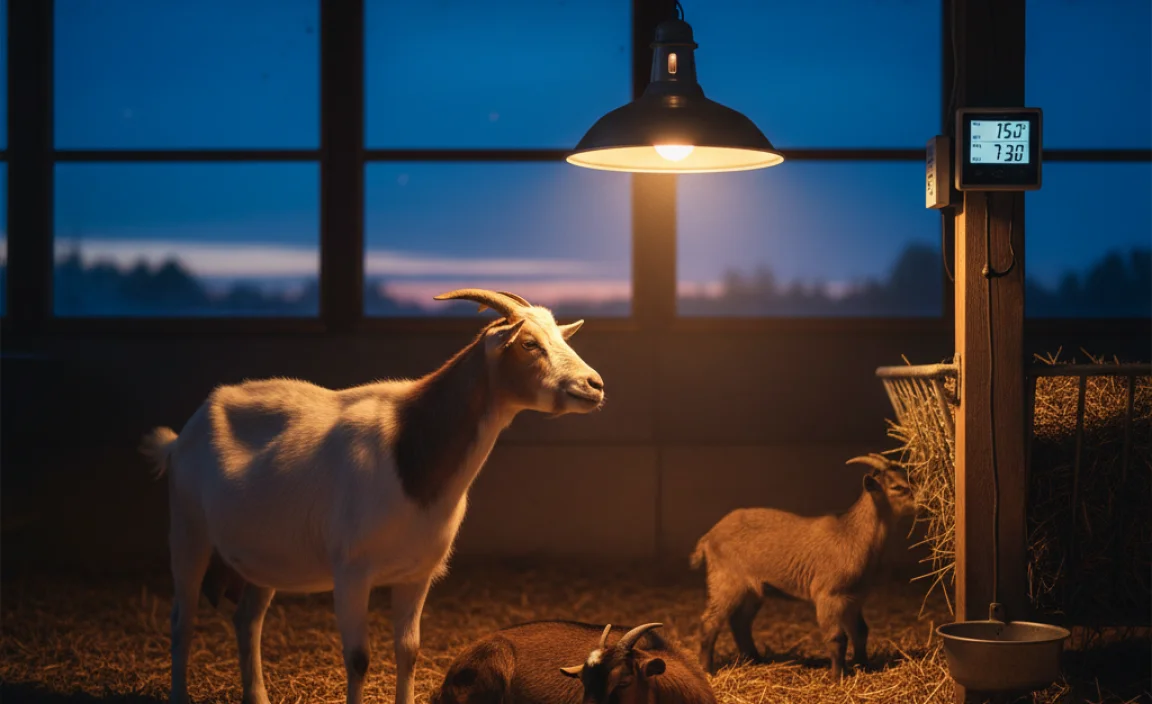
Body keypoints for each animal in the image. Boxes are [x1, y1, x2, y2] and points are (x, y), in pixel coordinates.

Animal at [139, 289, 605, 704]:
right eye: (529, 343)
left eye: (561, 337)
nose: (595, 384)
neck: (409, 450)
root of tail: (178, 440)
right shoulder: (351, 572)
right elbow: (359, 658)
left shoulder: (418, 574)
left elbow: (409, 652)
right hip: (188, 529)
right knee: (182, 619)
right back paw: (179, 694)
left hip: (262, 555)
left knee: (246, 619)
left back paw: (258, 697)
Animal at [691, 454, 916, 679]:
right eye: (897, 487)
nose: (920, 501)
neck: (851, 534)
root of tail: (708, 537)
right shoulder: (828, 596)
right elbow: (837, 638)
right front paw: (838, 677)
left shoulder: (854, 598)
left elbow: (860, 631)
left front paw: (863, 666)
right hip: (725, 581)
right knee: (709, 622)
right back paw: (707, 670)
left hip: (753, 591)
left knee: (740, 622)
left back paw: (754, 660)